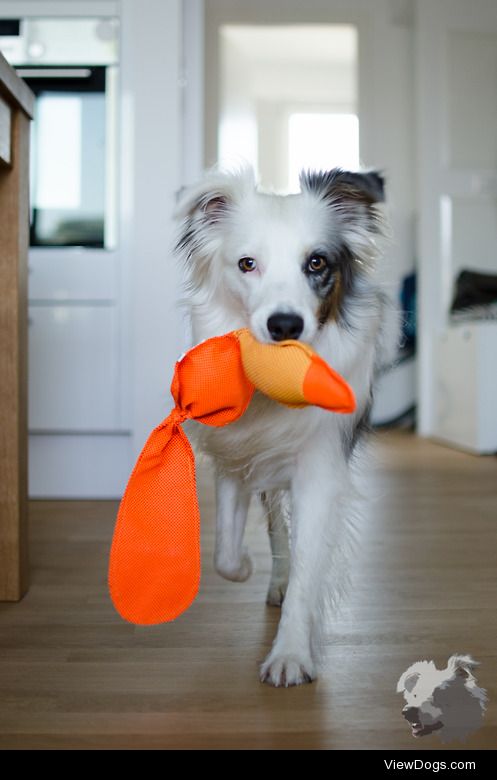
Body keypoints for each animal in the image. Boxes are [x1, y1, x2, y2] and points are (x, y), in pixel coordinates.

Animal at [174, 168, 392, 684]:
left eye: (316, 262)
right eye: (247, 264)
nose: (285, 325)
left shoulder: (320, 471)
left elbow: (309, 565)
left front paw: (291, 654)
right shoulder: (236, 456)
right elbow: (225, 553)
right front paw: (248, 567)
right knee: (275, 527)